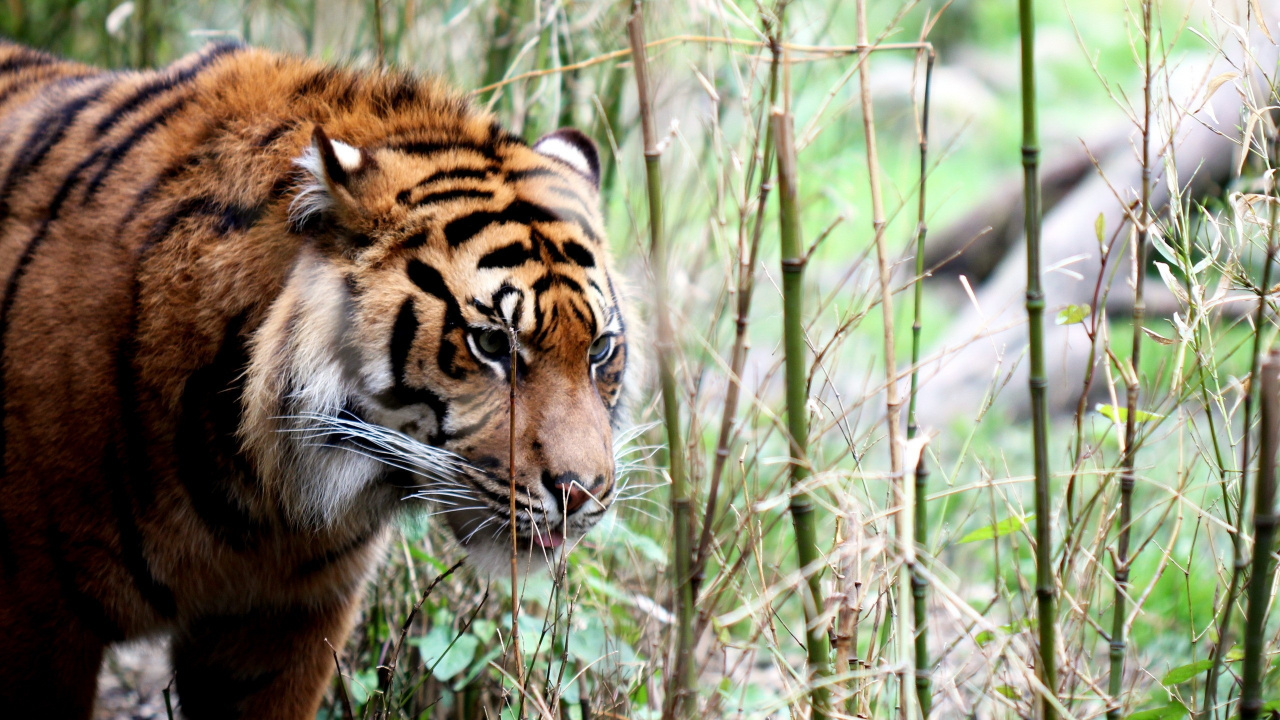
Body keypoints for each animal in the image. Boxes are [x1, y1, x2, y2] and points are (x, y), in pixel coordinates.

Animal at [0, 38, 629, 719]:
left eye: (599, 350)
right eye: (490, 343)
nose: (583, 494)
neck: (257, 493)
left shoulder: (282, 625)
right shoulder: (37, 614)